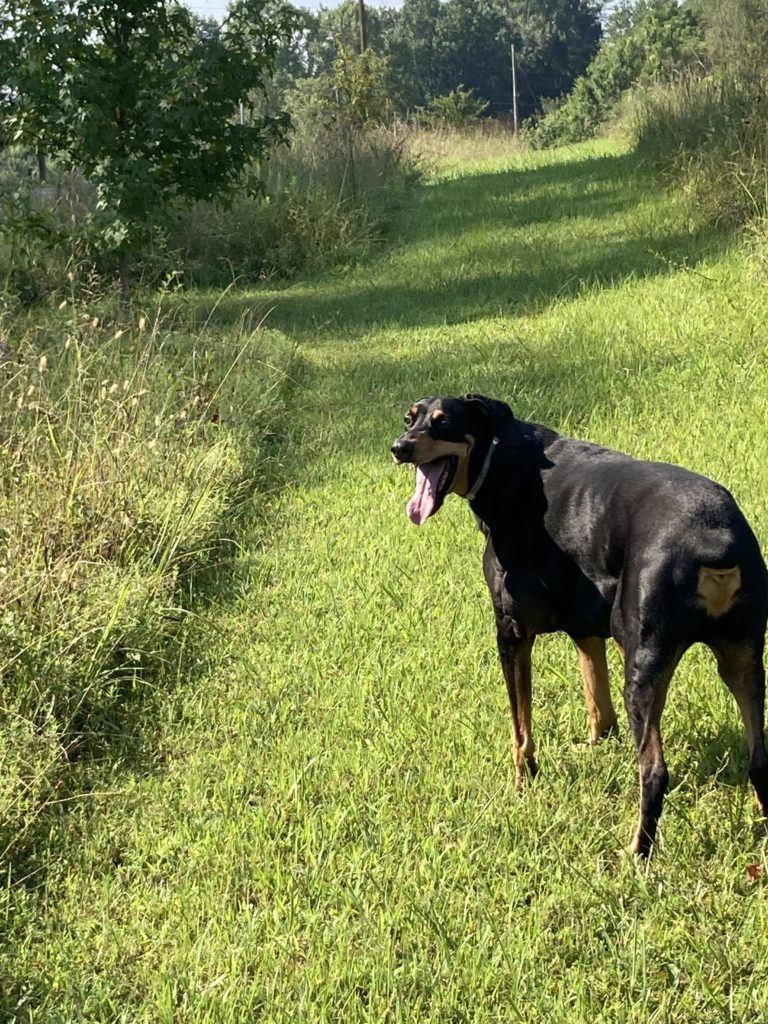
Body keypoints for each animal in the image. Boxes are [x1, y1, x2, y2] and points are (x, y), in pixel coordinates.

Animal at [393, 395, 765, 860]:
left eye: (443, 423)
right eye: (410, 419)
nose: (399, 447)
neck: (504, 461)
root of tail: (716, 539)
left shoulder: (511, 630)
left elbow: (521, 728)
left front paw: (523, 782)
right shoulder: (590, 628)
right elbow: (598, 705)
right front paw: (595, 747)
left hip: (644, 664)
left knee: (654, 771)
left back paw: (634, 852)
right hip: (743, 659)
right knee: (760, 759)